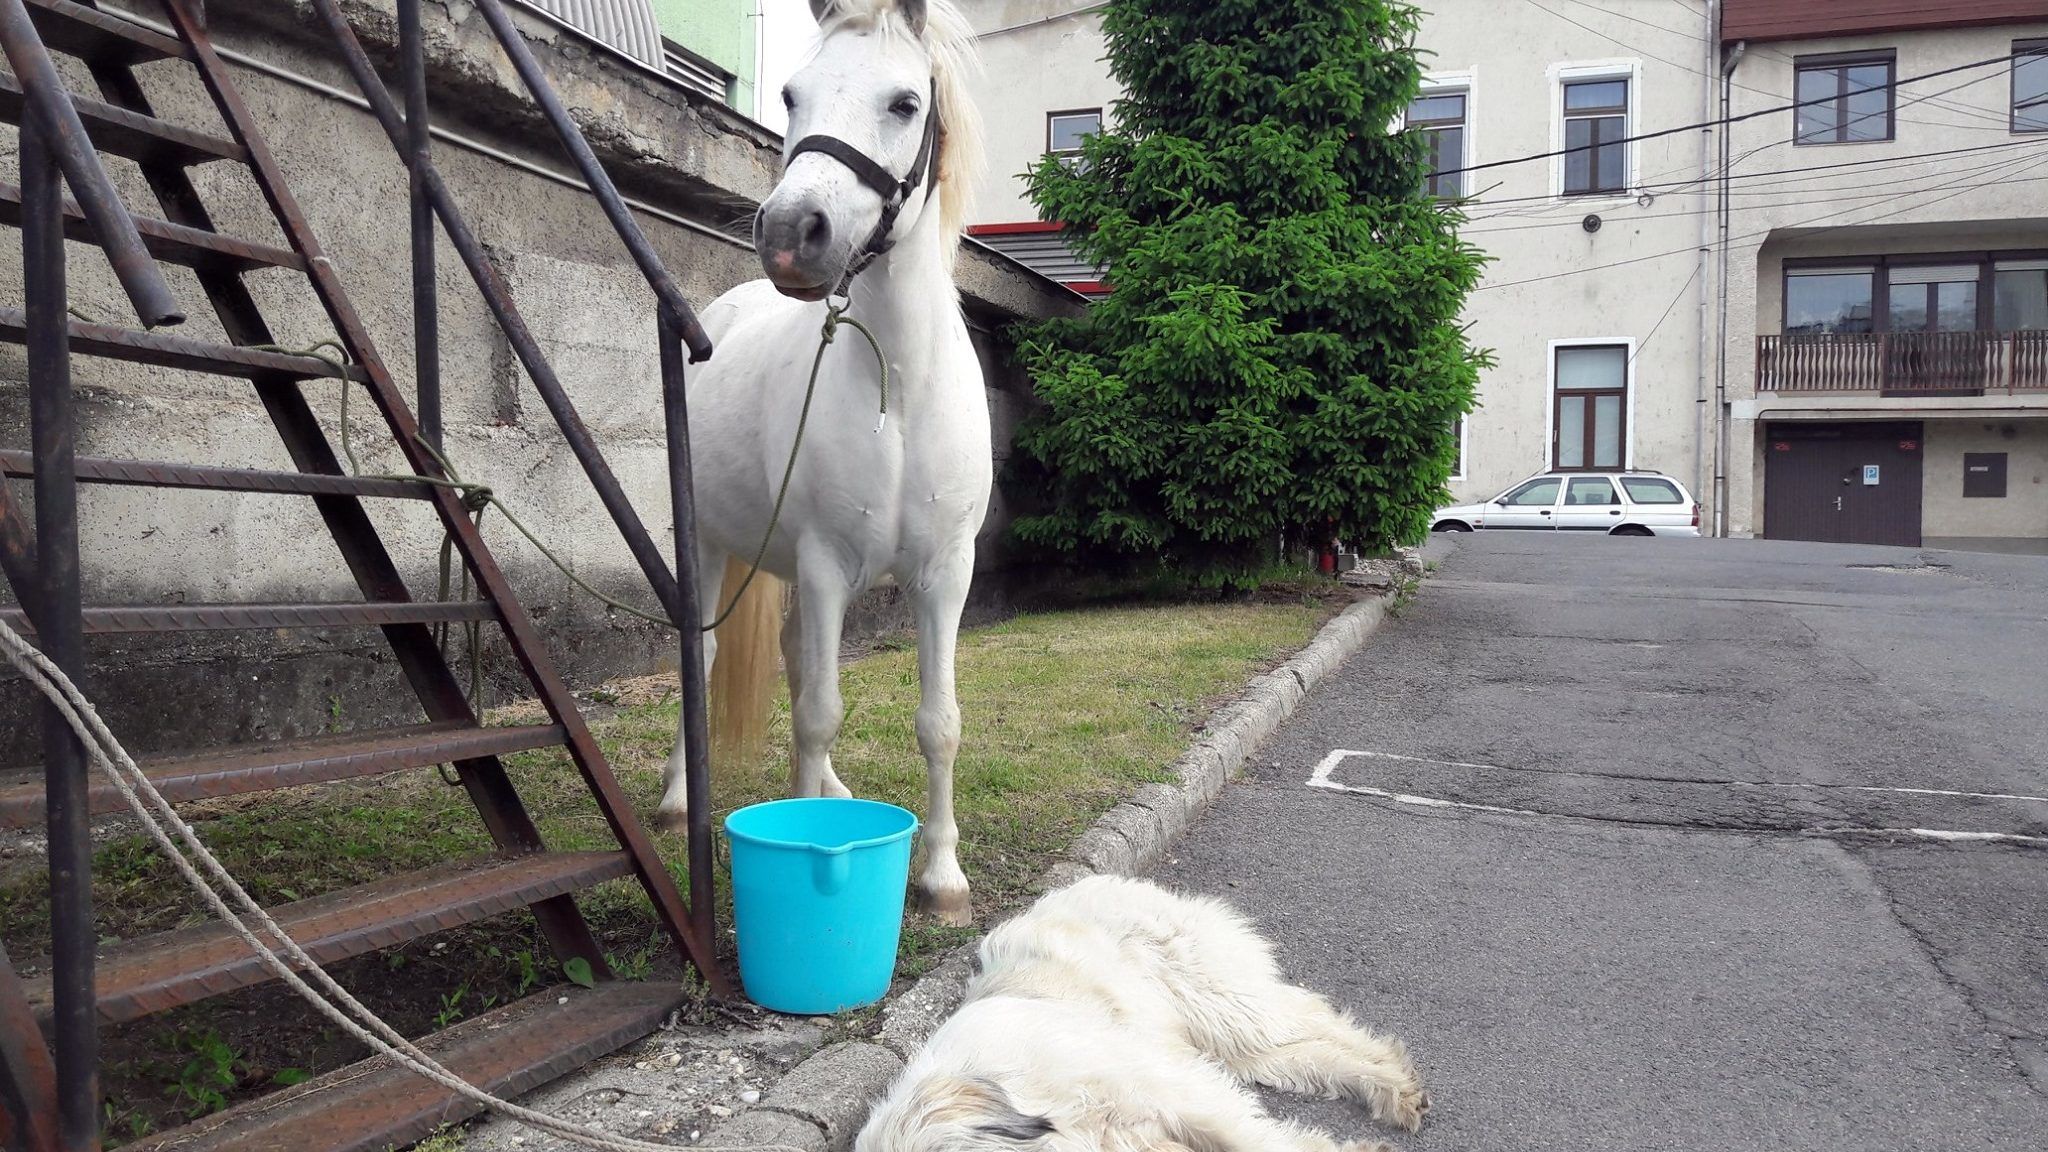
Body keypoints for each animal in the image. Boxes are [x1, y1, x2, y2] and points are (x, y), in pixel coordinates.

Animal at [647, 0, 983, 918]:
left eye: (905, 102)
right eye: (792, 95)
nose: (793, 234)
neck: (898, 387)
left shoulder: (944, 573)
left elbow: (939, 721)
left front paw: (942, 876)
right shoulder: (827, 563)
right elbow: (818, 710)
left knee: (797, 657)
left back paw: (832, 790)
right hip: (711, 547)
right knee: (707, 659)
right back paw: (680, 798)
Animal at [856, 873, 1433, 1139]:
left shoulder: (1174, 1087)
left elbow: (1247, 1135)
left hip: (1221, 1002)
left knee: (1318, 1018)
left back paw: (1393, 1078)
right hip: (1234, 1042)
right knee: (1308, 1054)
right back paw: (1390, 1089)